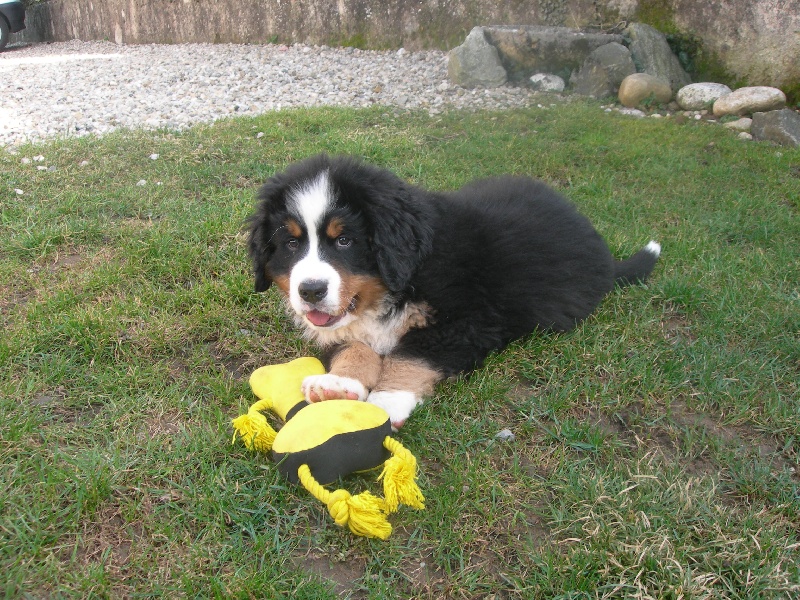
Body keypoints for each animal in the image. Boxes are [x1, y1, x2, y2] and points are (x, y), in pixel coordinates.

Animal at [248, 154, 660, 428]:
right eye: (291, 244)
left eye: (344, 240)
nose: (311, 291)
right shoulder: (342, 327)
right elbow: (354, 347)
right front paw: (338, 385)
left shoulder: (465, 322)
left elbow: (409, 356)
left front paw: (385, 403)